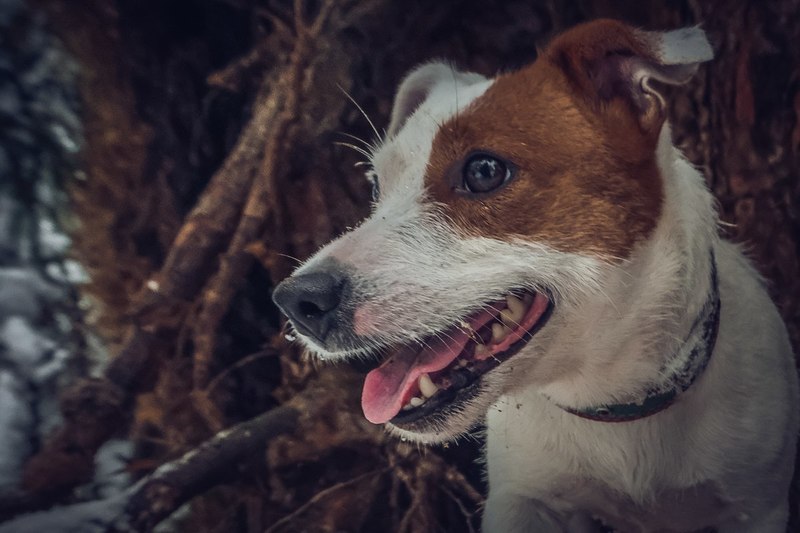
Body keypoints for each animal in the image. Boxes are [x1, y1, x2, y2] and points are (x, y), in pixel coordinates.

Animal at [272, 19, 796, 532]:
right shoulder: (524, 499)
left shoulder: (758, 505)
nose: (297, 302)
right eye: (377, 186)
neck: (610, 398)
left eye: (484, 171)